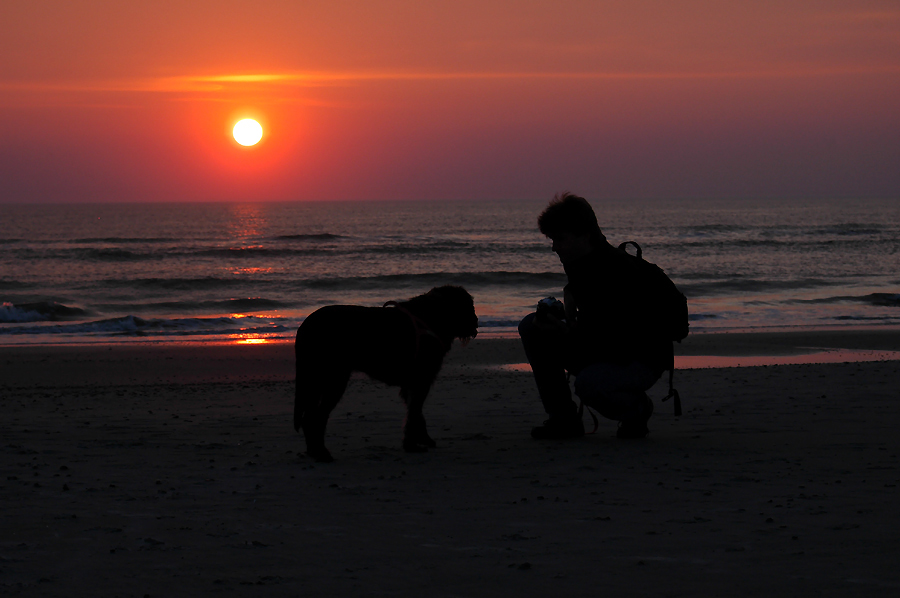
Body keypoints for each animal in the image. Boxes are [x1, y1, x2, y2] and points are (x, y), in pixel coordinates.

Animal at [296, 286, 478, 464]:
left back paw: (313, 450)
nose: (476, 322)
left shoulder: (412, 384)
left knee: (308, 416)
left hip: (315, 381)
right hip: (333, 379)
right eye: (469, 306)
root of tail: (305, 326)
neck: (434, 314)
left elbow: (416, 413)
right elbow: (414, 413)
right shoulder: (421, 380)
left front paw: (421, 439)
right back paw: (321, 453)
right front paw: (411, 444)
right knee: (316, 417)